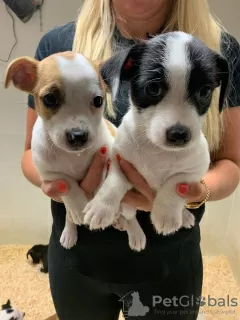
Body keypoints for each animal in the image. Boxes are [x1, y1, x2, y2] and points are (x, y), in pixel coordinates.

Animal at [4, 52, 145, 251]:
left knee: (130, 215)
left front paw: (101, 207)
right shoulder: (48, 172)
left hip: (129, 207)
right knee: (70, 216)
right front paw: (79, 206)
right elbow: (67, 182)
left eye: (98, 100)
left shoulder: (117, 158)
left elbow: (114, 180)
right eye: (49, 99)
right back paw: (71, 230)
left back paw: (133, 231)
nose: (78, 135)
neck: (75, 156)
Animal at [84, 30, 229, 240]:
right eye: (153, 89)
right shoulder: (120, 159)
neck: (157, 150)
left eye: (204, 92)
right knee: (128, 215)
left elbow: (175, 183)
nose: (179, 135)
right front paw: (101, 207)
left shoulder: (194, 170)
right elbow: (114, 182)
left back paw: (183, 215)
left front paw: (166, 214)